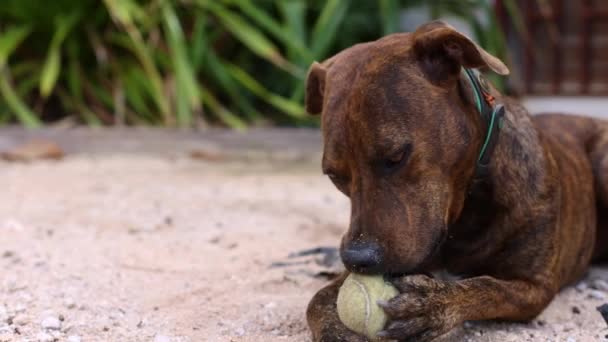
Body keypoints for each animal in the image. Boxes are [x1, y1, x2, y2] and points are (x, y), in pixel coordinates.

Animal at [304, 21, 608, 342]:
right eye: (334, 175)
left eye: (397, 156)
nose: (358, 259)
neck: (468, 207)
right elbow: (317, 300)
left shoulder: (534, 286)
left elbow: (488, 286)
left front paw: (435, 304)